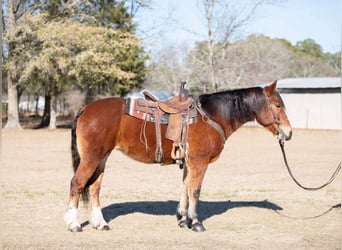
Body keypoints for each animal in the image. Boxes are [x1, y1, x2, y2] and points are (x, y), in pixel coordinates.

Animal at [63, 81, 292, 231]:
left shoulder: (189, 162)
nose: (288, 133)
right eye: (277, 105)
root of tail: (85, 108)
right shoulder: (199, 162)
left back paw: (100, 223)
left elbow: (186, 188)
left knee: (94, 188)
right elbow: (195, 191)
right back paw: (74, 224)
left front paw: (183, 219)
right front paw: (196, 222)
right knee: (77, 184)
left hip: (101, 159)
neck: (211, 116)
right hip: (92, 158)